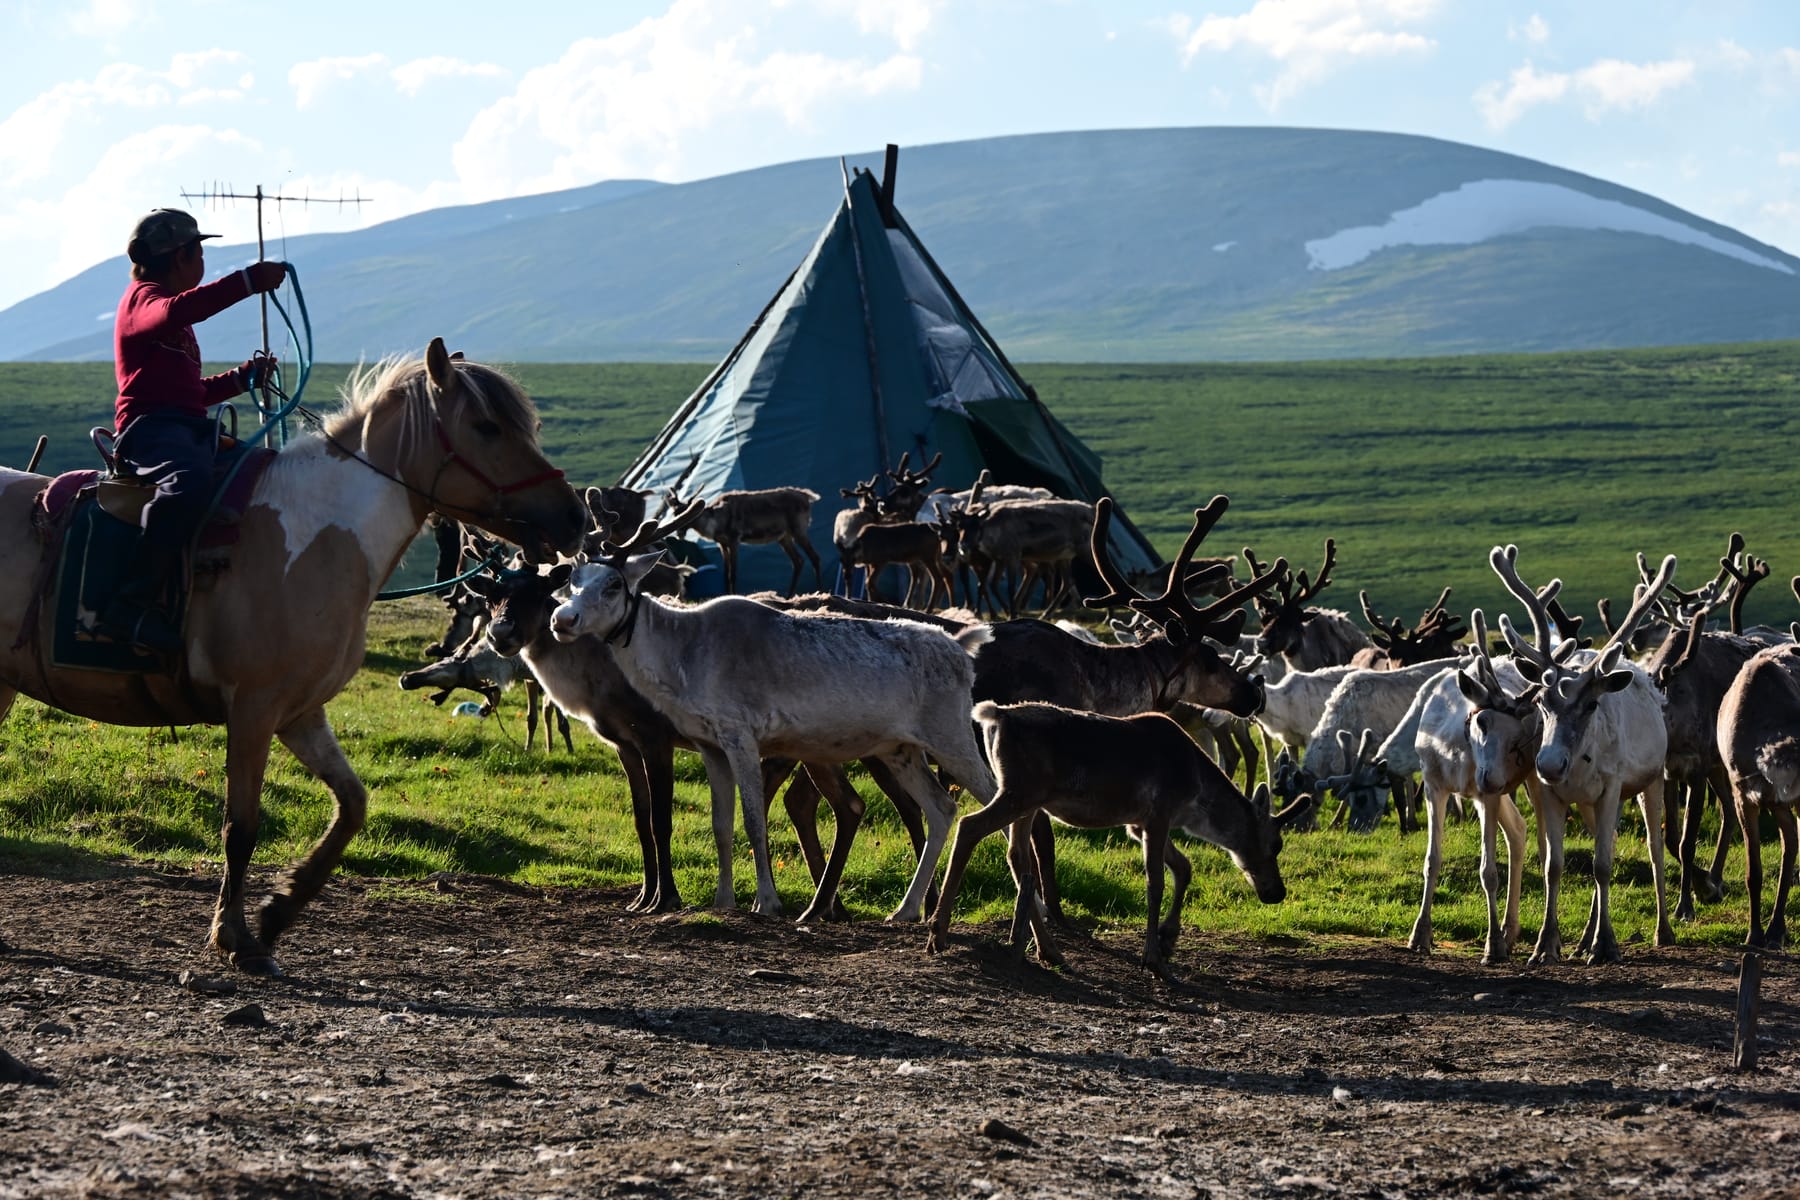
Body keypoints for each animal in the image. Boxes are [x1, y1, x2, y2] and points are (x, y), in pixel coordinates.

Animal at [551, 503, 999, 922]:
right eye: (572, 579)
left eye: (613, 583)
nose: (562, 618)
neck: (680, 661)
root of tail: (964, 650)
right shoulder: (708, 744)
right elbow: (720, 825)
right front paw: (724, 901)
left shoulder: (740, 734)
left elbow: (754, 821)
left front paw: (766, 902)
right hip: (899, 749)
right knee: (942, 809)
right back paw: (906, 910)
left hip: (950, 733)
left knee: (993, 796)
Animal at [671, 485, 824, 596]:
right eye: (674, 513)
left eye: (689, 513)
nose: (679, 533)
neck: (715, 522)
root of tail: (807, 496)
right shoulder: (722, 544)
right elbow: (725, 574)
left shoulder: (734, 539)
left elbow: (733, 574)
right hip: (784, 537)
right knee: (798, 561)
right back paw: (789, 596)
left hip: (799, 530)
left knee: (814, 557)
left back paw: (819, 592)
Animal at [1491, 544, 1676, 965]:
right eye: (1540, 701)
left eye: (1592, 704)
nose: (1549, 763)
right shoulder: (1550, 793)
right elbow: (1553, 865)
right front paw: (1547, 945)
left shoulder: (1612, 787)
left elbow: (1603, 865)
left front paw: (1606, 945)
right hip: (1594, 803)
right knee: (1606, 843)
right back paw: (1582, 939)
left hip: (1651, 779)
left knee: (1654, 849)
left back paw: (1663, 930)